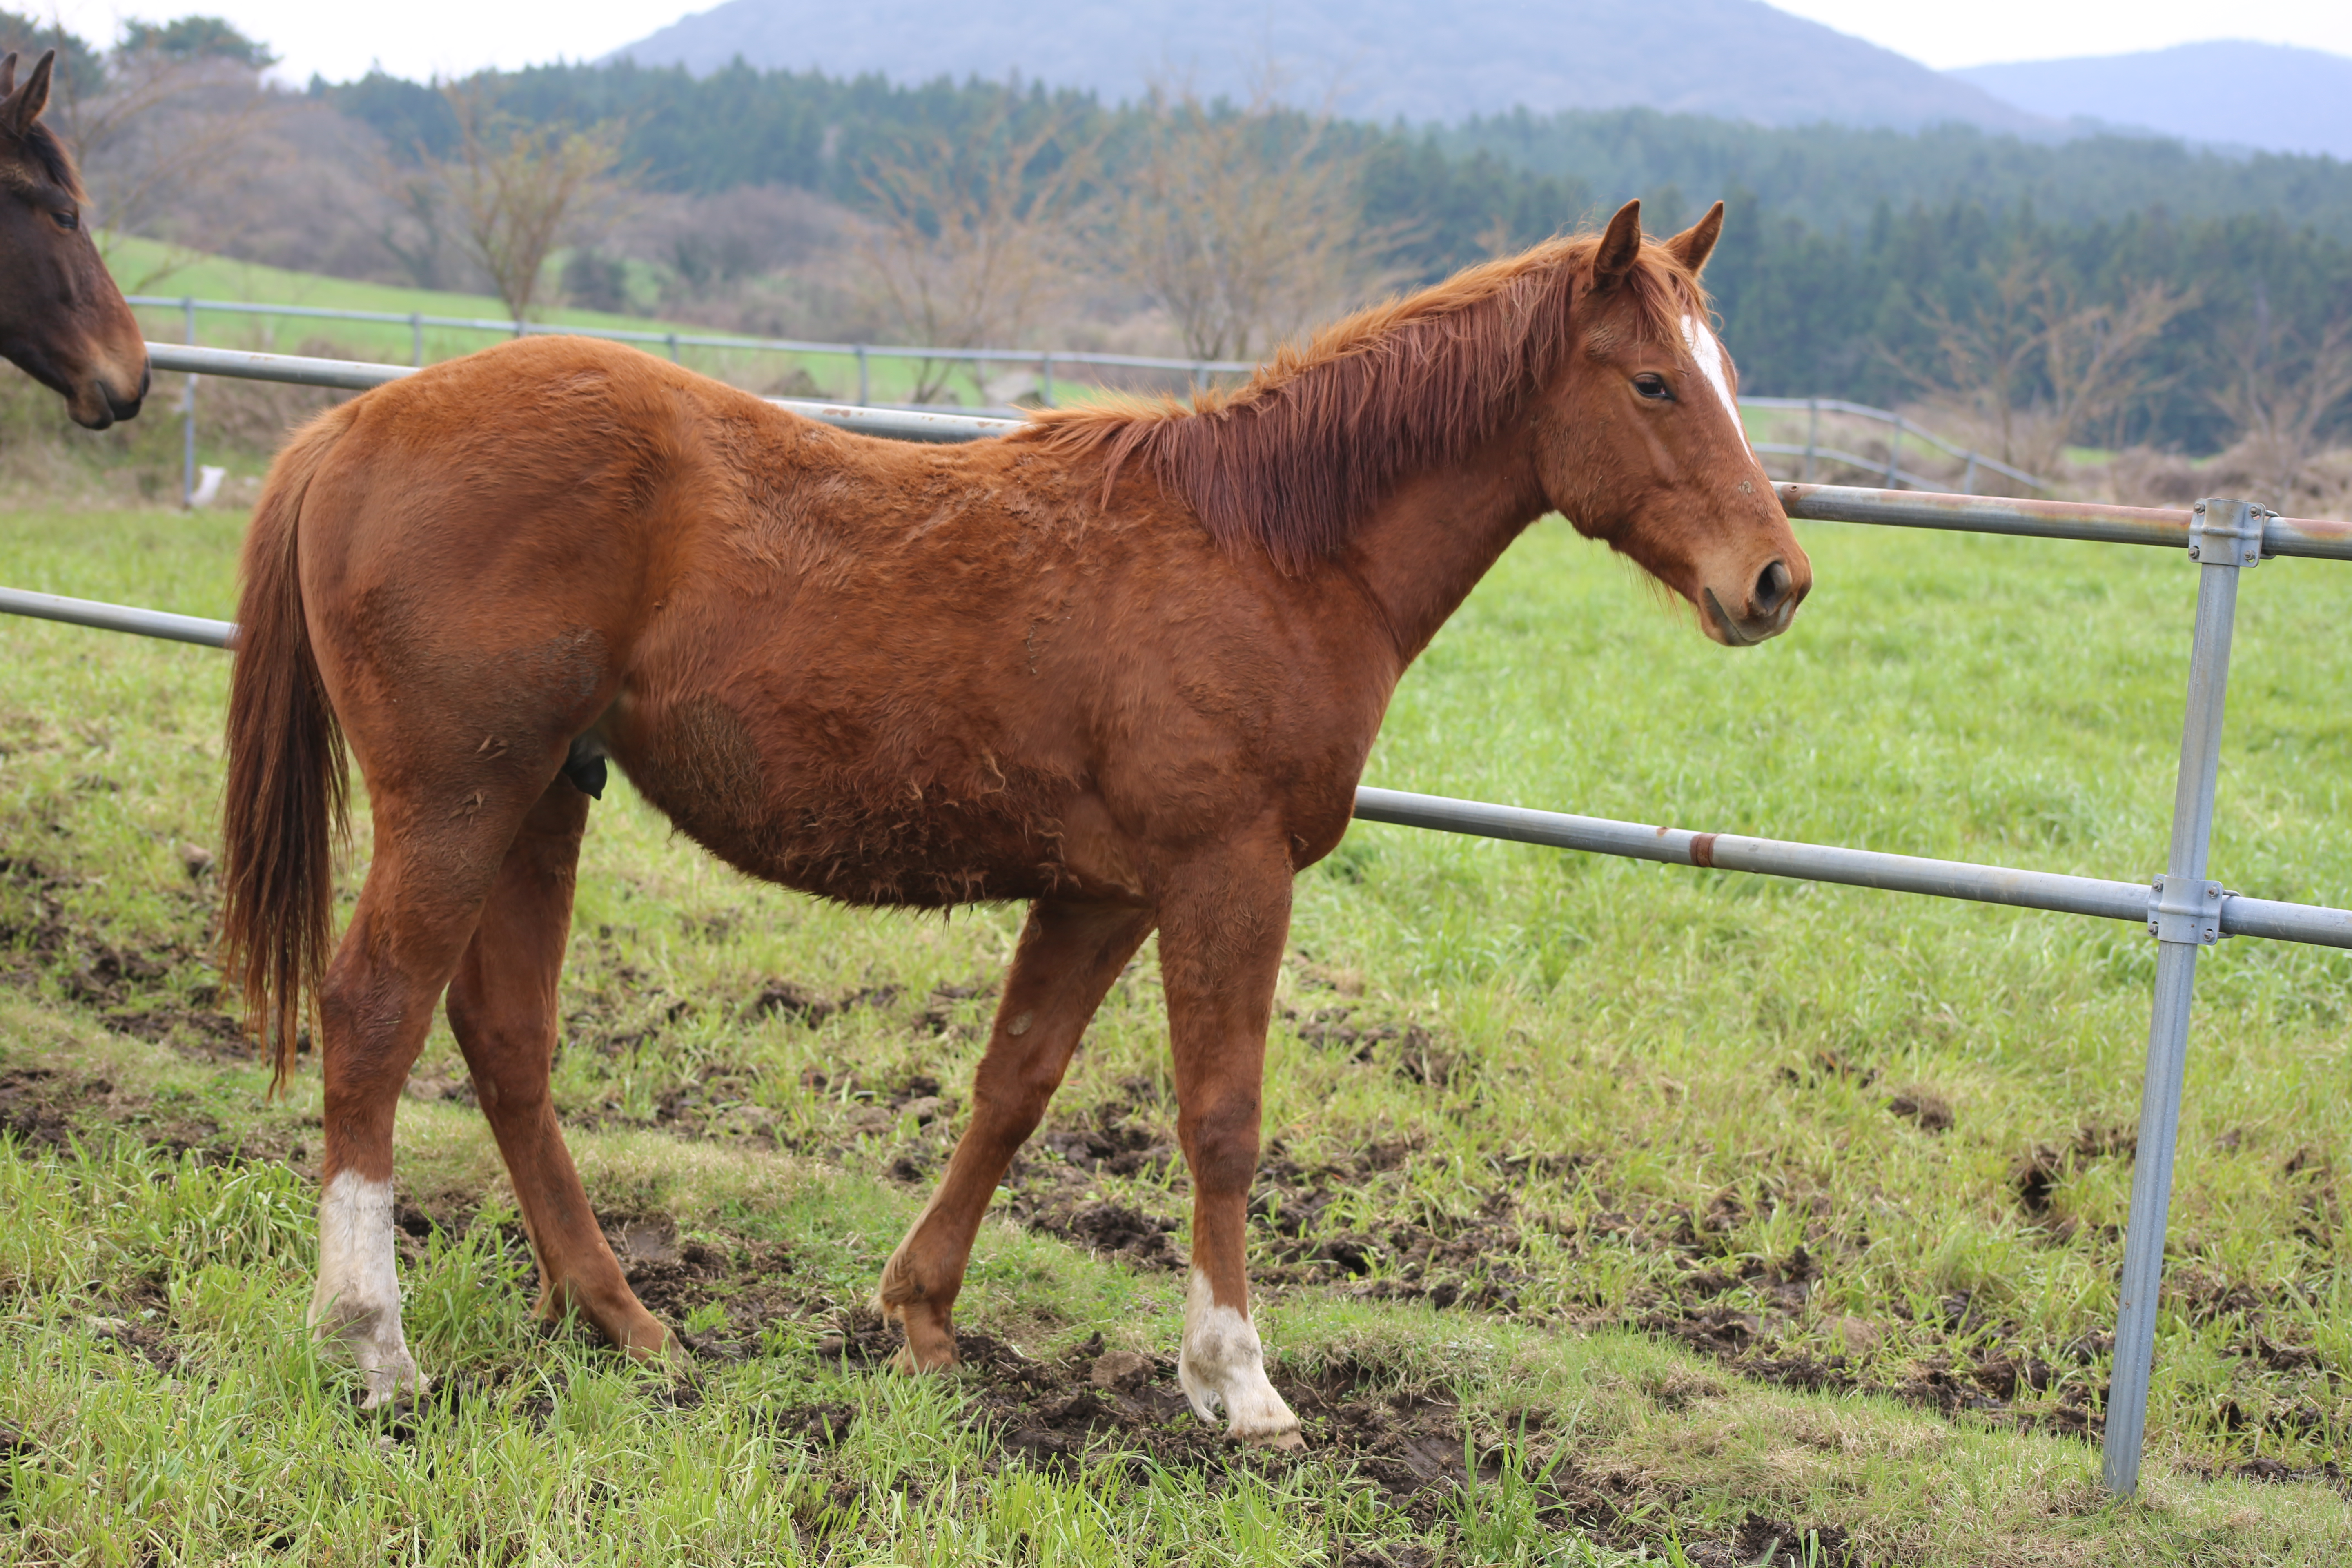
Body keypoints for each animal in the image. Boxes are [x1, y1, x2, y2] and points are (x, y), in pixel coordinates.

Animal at [216, 200, 1797, 1448]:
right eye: (1654, 381)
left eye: (1730, 374)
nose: (1776, 582)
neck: (1276, 549)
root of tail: (353, 422)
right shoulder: (1227, 874)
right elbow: (1222, 1121)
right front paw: (1238, 1380)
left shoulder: (1104, 891)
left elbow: (1014, 1087)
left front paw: (921, 1315)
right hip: (462, 800)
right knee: (376, 1014)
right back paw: (372, 1343)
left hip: (546, 797)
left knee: (506, 1040)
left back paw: (618, 1316)